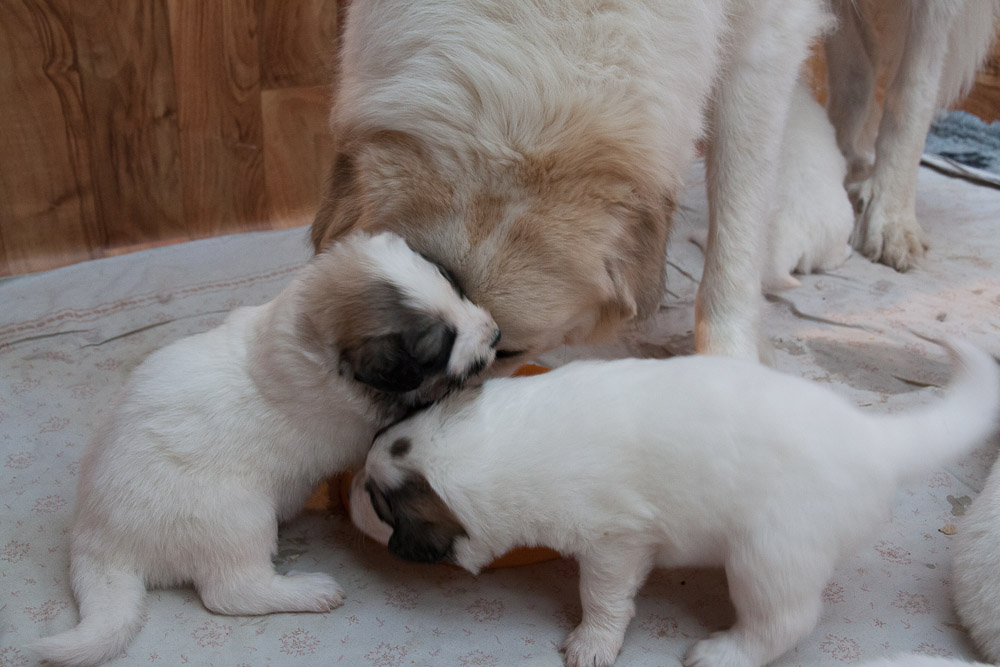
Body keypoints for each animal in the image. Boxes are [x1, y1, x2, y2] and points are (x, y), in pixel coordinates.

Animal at [30, 231, 500, 667]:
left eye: (454, 285)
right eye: (440, 345)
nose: (495, 335)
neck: (307, 339)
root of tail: (99, 544)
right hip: (239, 518)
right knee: (229, 592)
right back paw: (310, 591)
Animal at [352, 342, 1000, 664]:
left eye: (380, 506)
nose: (351, 481)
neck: (505, 444)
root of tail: (874, 439)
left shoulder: (614, 540)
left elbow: (602, 595)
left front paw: (591, 643)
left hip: (769, 552)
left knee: (786, 619)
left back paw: (723, 654)